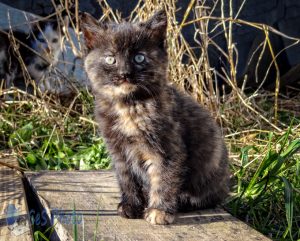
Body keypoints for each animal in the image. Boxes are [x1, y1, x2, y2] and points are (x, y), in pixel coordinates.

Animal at [80, 9, 230, 224]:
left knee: (207, 198)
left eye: (139, 58)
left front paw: (159, 211)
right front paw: (131, 206)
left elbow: (164, 179)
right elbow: (127, 179)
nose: (125, 73)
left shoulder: (167, 149)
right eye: (110, 59)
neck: (130, 106)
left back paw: (182, 201)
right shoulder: (119, 151)